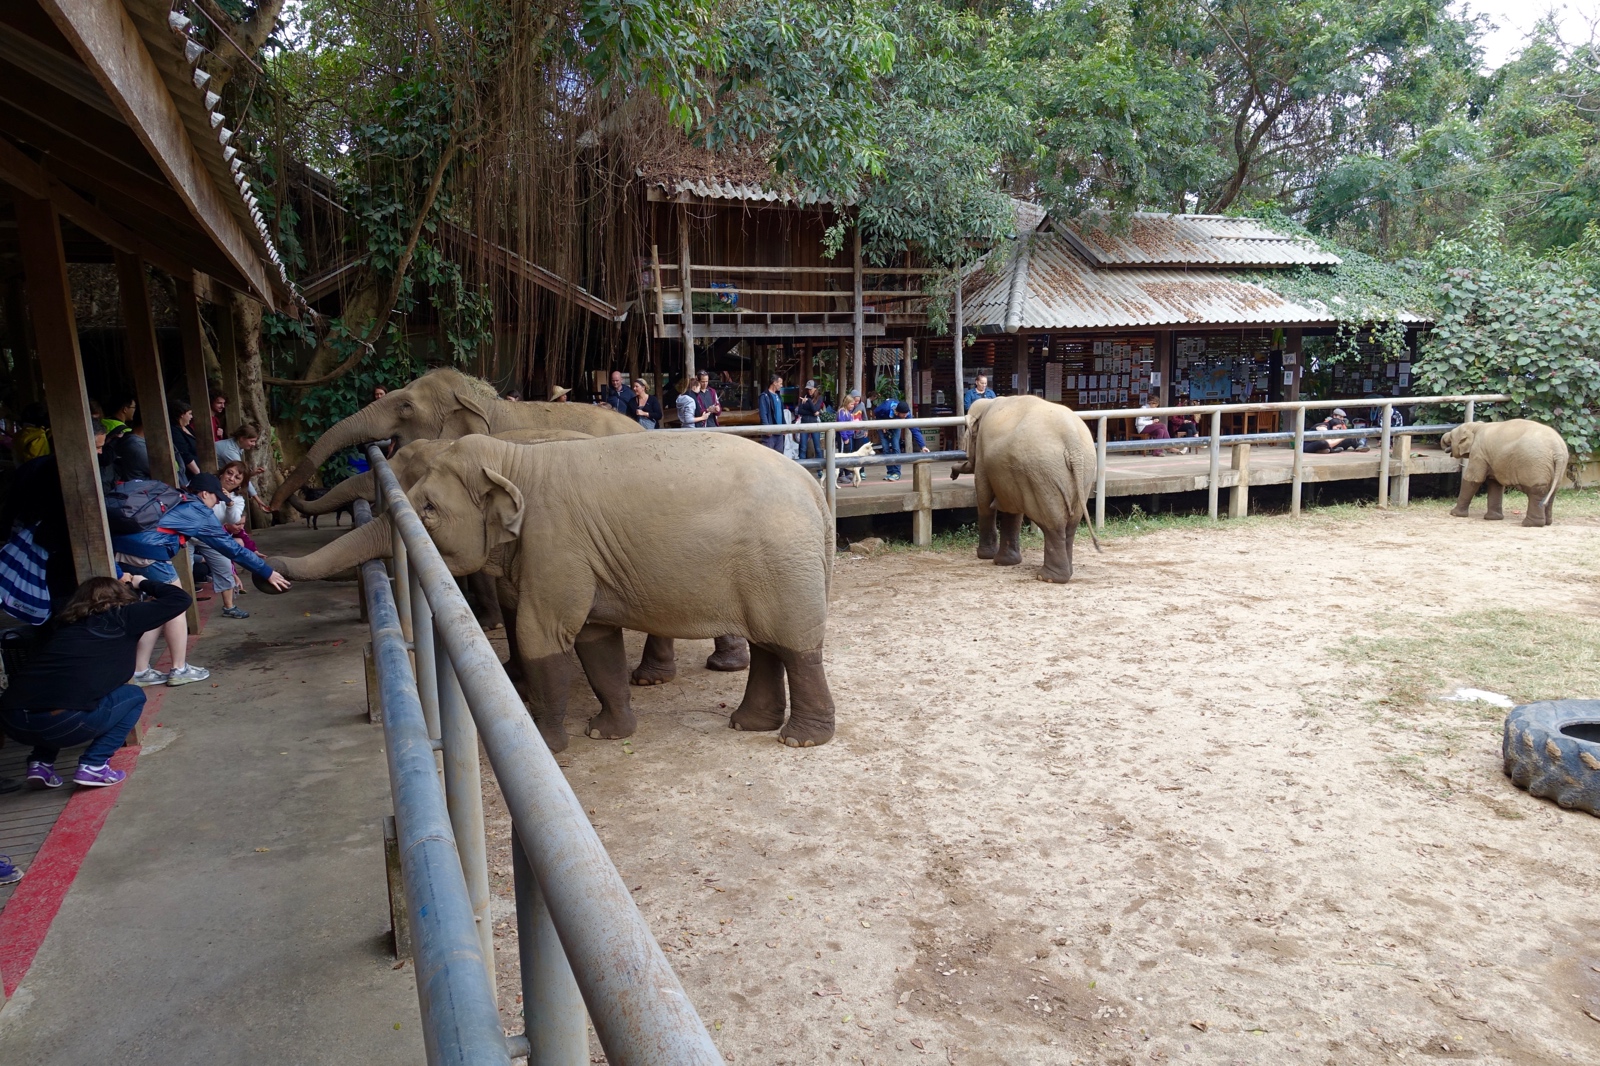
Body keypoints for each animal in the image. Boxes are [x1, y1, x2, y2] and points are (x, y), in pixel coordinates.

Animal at [267, 432, 837, 753]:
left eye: (427, 507)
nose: (268, 571)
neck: (517, 462)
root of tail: (813, 489)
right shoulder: (583, 557)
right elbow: (594, 640)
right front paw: (606, 734)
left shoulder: (554, 544)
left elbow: (541, 635)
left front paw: (549, 743)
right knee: (769, 643)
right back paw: (750, 725)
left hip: (782, 560)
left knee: (796, 646)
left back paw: (799, 739)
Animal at [952, 396, 1100, 582]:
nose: (952, 474)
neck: (988, 403)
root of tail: (1072, 440)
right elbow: (1011, 508)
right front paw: (1005, 562)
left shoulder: (982, 456)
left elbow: (984, 500)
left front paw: (985, 556)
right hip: (1084, 471)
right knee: (1071, 523)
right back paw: (1065, 573)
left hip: (1043, 472)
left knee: (1053, 523)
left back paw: (1047, 577)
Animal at [1440, 418, 1569, 526]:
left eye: (1451, 436)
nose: (1444, 442)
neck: (1477, 426)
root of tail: (1558, 450)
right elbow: (1495, 483)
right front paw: (1493, 518)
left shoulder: (1478, 453)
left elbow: (1473, 479)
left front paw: (1455, 514)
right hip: (1558, 467)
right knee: (1551, 492)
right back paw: (1547, 523)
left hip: (1535, 464)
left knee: (1537, 491)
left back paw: (1530, 524)